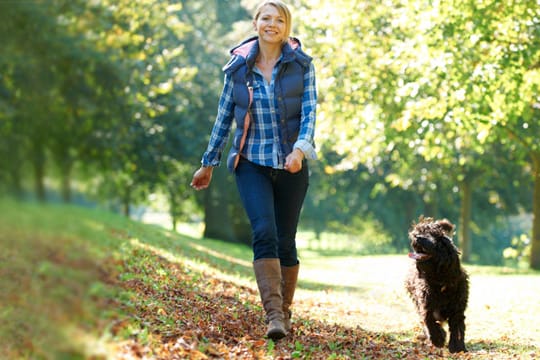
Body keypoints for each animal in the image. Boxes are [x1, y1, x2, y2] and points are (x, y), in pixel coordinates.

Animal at [404, 217, 468, 352]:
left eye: (435, 238)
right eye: (422, 232)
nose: (417, 236)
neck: (440, 281)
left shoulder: (457, 309)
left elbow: (457, 328)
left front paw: (457, 347)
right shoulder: (426, 306)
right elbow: (430, 322)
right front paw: (438, 339)